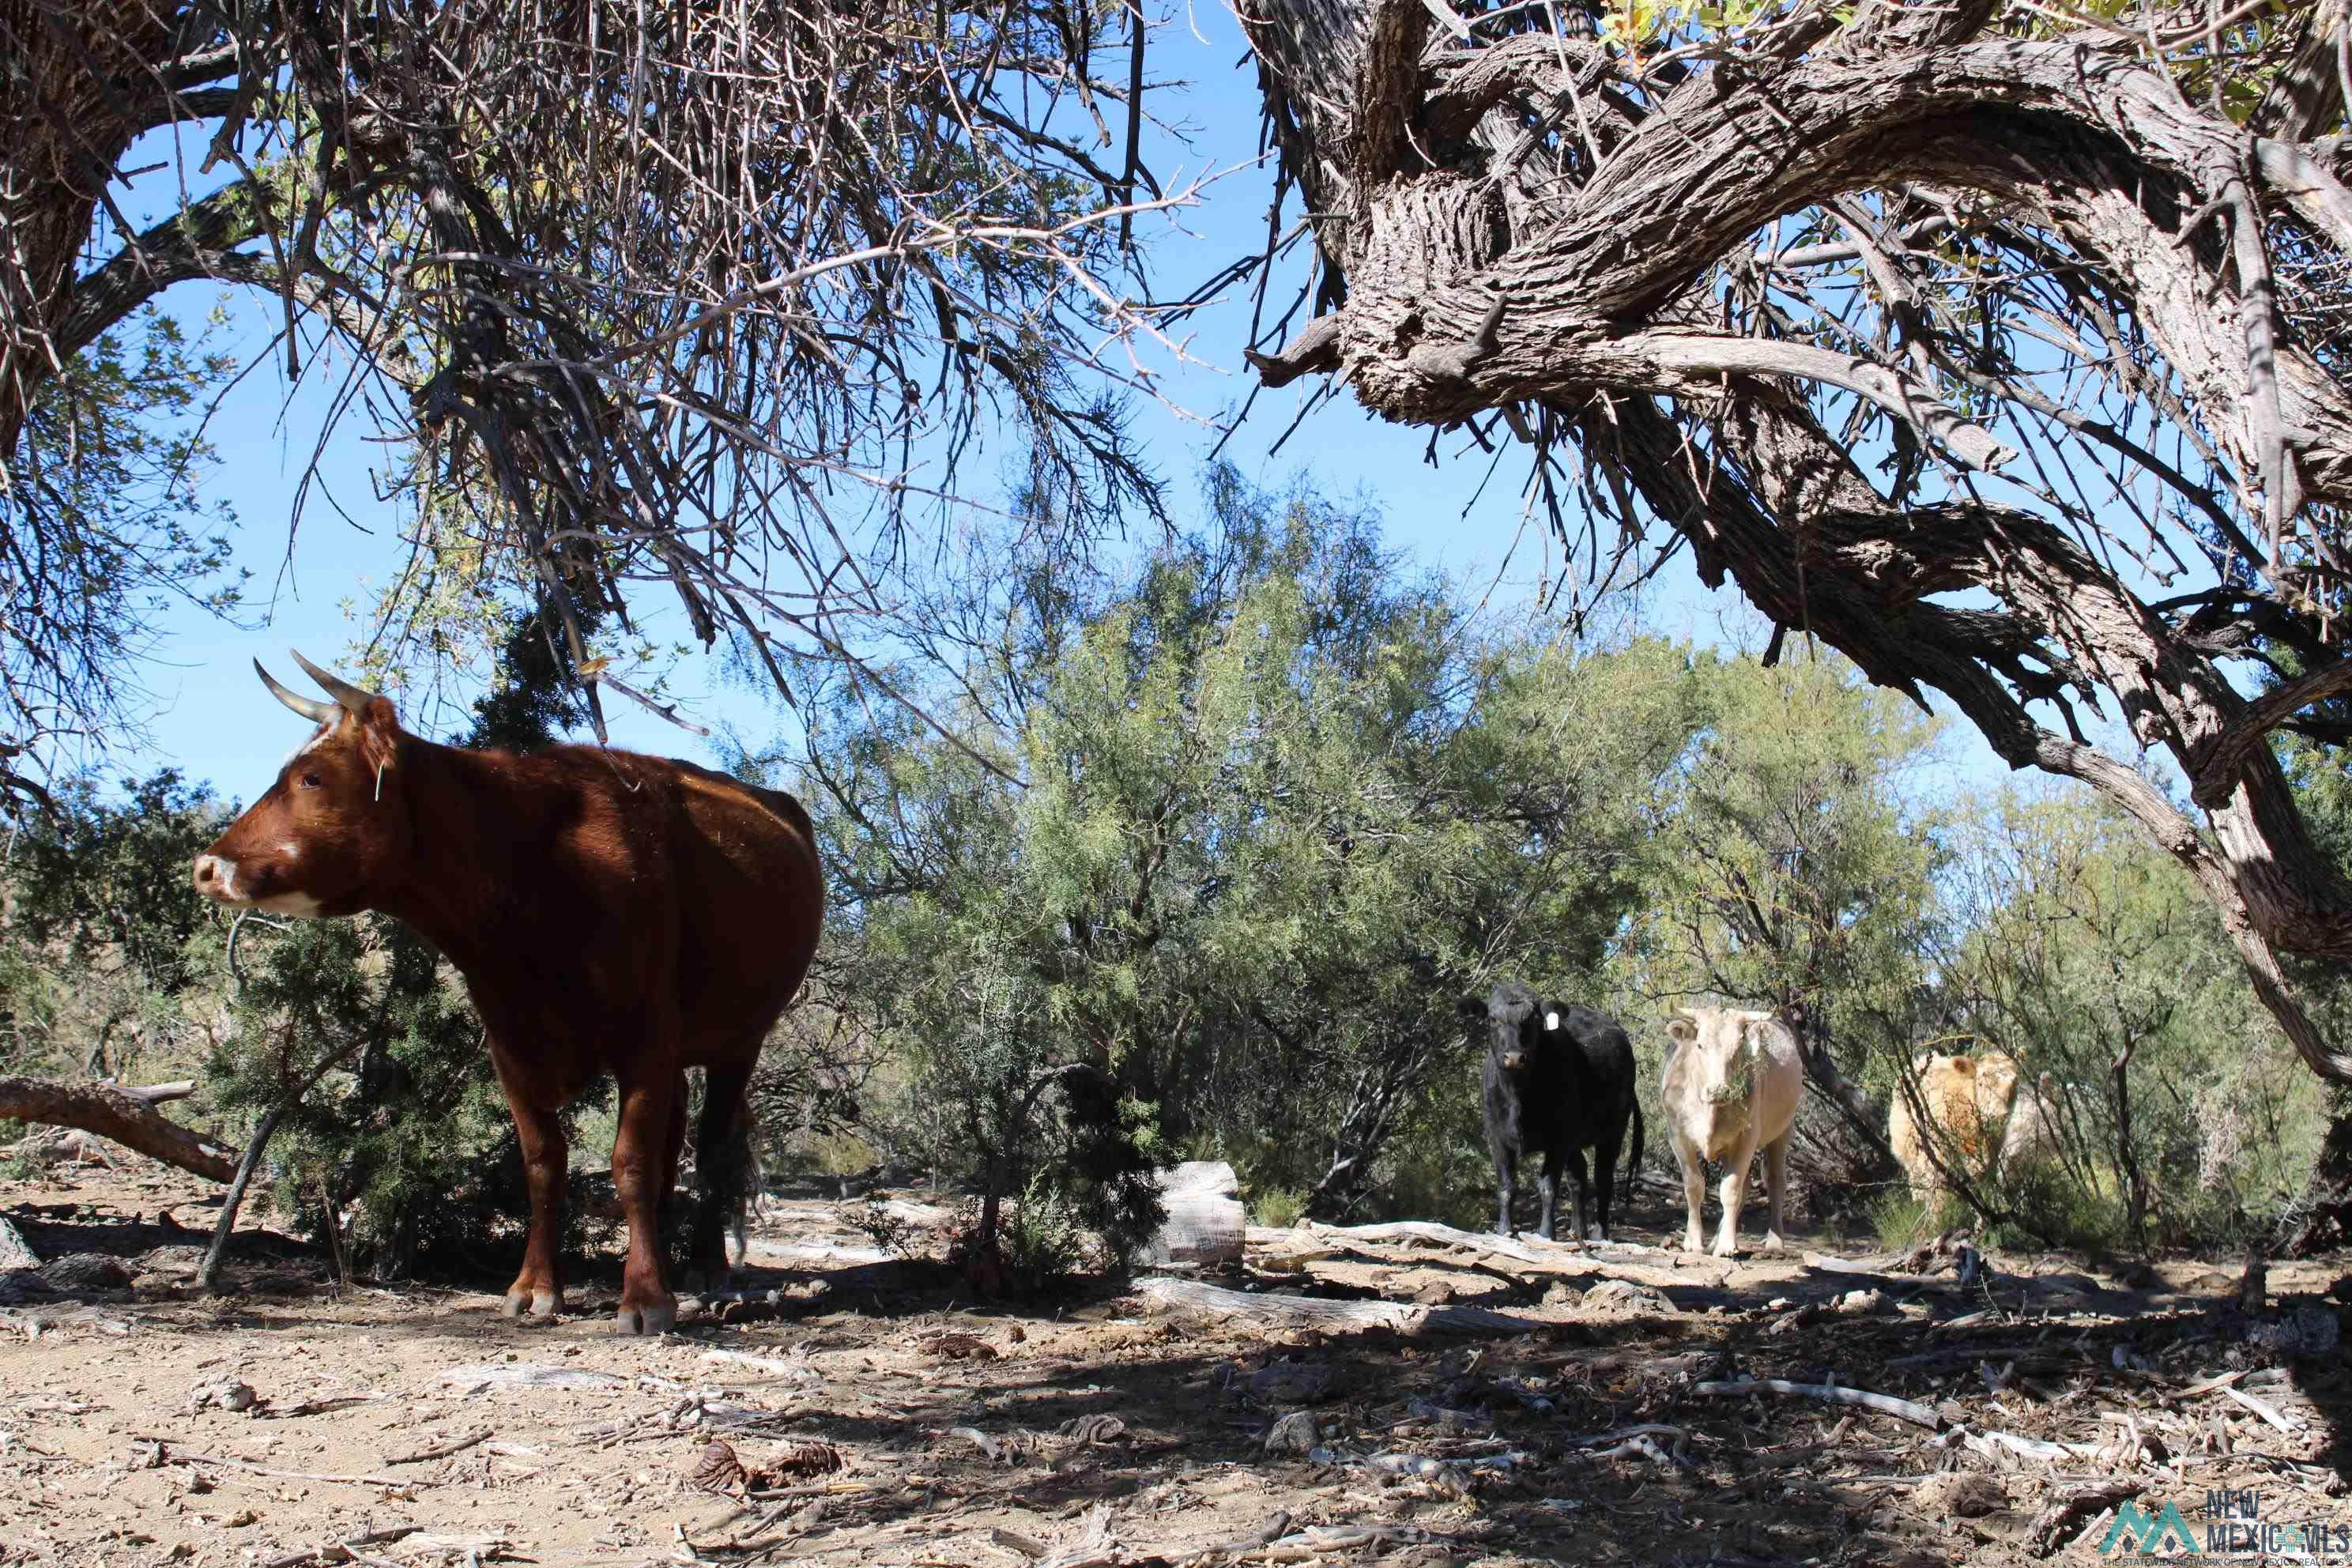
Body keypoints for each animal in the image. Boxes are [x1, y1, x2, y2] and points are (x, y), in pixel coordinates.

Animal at [197, 653, 832, 1335]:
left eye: (312, 777)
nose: (207, 867)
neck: (535, 871)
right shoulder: (510, 1042)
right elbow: (544, 1161)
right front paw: (536, 1287)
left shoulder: (645, 1036)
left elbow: (630, 1162)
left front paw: (644, 1297)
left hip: (740, 1039)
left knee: (711, 1147)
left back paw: (704, 1267)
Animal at [1458, 987, 1646, 1241]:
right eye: (1493, 1019)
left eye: (1533, 1019)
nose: (1514, 1057)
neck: (1518, 1098)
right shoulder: (1496, 1138)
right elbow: (1507, 1187)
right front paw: (1504, 1231)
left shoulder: (1559, 1140)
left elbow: (1547, 1186)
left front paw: (1546, 1234)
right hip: (1577, 1139)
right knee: (1578, 1177)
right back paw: (1579, 1230)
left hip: (1613, 1130)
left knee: (1603, 1178)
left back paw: (1599, 1234)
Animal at [1656, 1011, 1796, 1260]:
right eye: (1700, 1045)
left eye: (1738, 1049)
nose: (1718, 1091)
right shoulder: (1678, 1136)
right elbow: (1694, 1186)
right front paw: (1694, 1241)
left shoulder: (1746, 1138)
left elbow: (1730, 1189)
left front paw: (1726, 1245)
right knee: (1748, 1183)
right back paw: (1713, 1241)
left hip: (1783, 1131)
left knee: (1775, 1180)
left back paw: (1774, 1243)